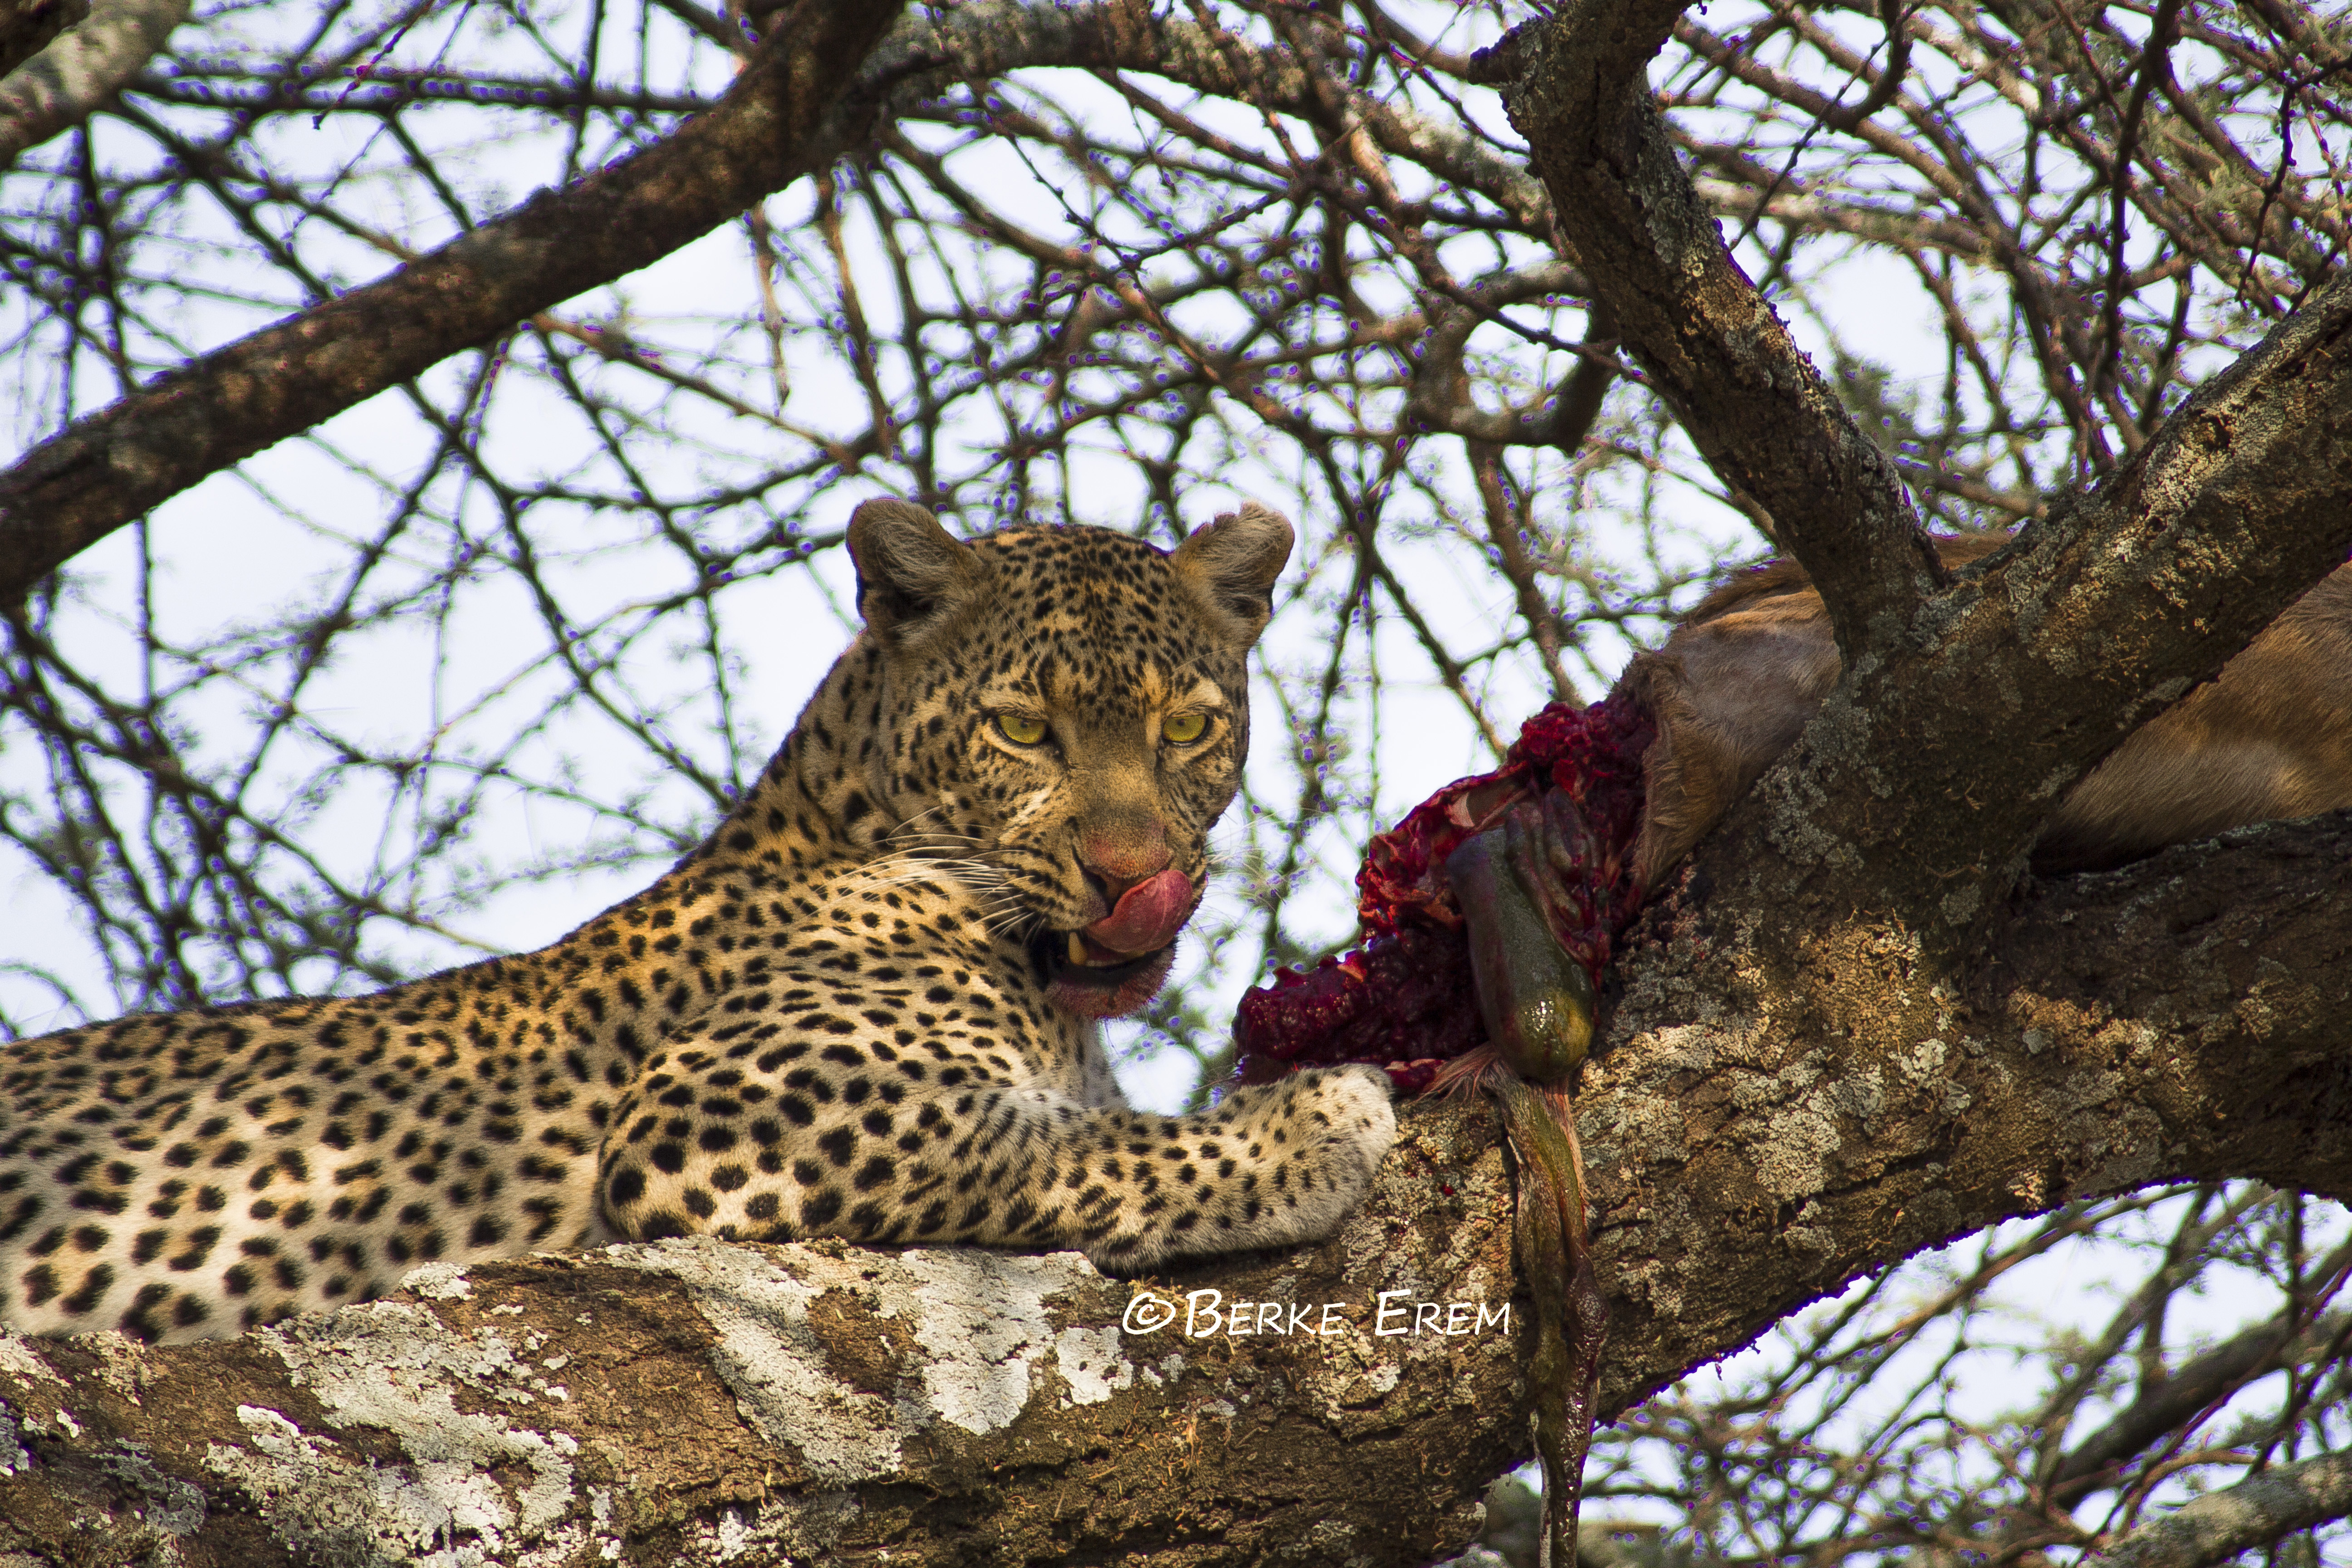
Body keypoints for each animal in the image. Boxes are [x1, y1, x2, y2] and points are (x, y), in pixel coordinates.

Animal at [0, 505, 1392, 1354]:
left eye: (1188, 728)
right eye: (1023, 730)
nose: (1132, 875)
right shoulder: (718, 1119)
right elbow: (1064, 1141)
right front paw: (1307, 1122)